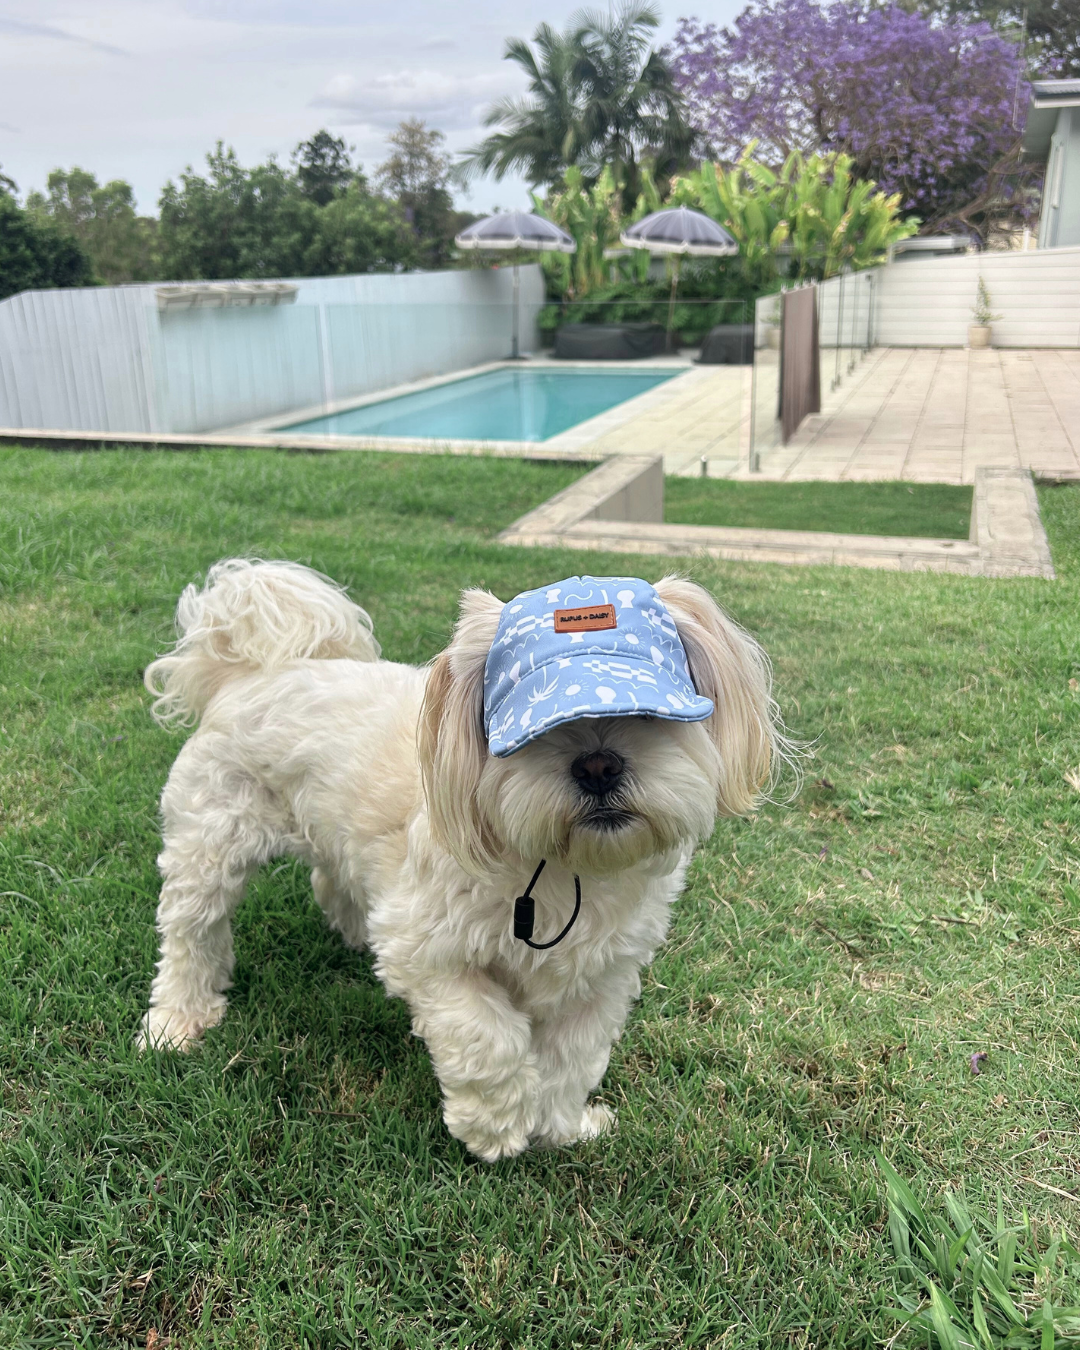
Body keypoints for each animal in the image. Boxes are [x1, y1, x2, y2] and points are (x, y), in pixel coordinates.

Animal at [141, 558, 783, 1161]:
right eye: (532, 734)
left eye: (649, 716)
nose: (598, 765)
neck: (566, 869)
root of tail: (255, 670)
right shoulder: (427, 950)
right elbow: (487, 1036)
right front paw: (495, 1127)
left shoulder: (601, 977)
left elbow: (573, 1059)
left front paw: (561, 1127)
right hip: (211, 843)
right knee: (191, 936)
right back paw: (176, 1022)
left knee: (330, 879)